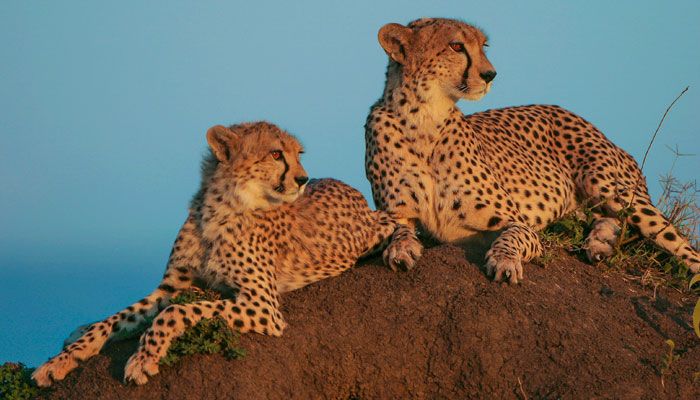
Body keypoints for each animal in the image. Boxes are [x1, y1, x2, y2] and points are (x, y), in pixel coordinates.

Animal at [34, 121, 416, 384]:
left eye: (297, 154)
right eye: (276, 154)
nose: (303, 179)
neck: (219, 208)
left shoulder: (262, 305)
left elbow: (175, 312)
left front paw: (144, 358)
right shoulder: (171, 286)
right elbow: (117, 318)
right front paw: (59, 362)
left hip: (368, 230)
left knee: (396, 217)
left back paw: (403, 249)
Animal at [366, 17, 700, 282]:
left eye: (483, 46)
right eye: (456, 46)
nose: (490, 74)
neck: (424, 118)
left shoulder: (516, 221)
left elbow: (513, 237)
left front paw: (504, 262)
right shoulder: (396, 213)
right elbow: (397, 230)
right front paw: (401, 248)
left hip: (606, 183)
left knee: (678, 242)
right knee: (607, 217)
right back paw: (599, 245)